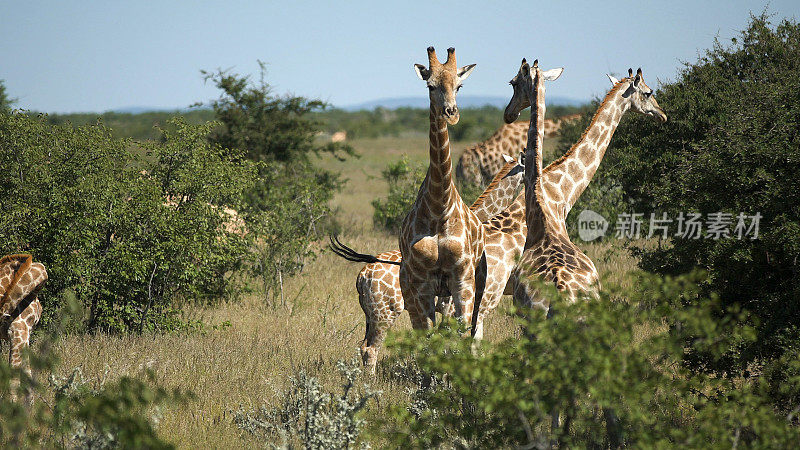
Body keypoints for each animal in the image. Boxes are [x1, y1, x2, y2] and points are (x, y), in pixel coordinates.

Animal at [328, 153, 520, 370]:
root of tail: (362, 277)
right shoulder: (451, 306)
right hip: (385, 312)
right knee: (371, 349)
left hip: (370, 314)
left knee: (363, 346)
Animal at [398, 46, 484, 334]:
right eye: (430, 86)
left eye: (459, 86)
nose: (451, 113)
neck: (439, 207)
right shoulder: (422, 282)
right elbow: (428, 336)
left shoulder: (463, 278)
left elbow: (462, 332)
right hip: (409, 286)